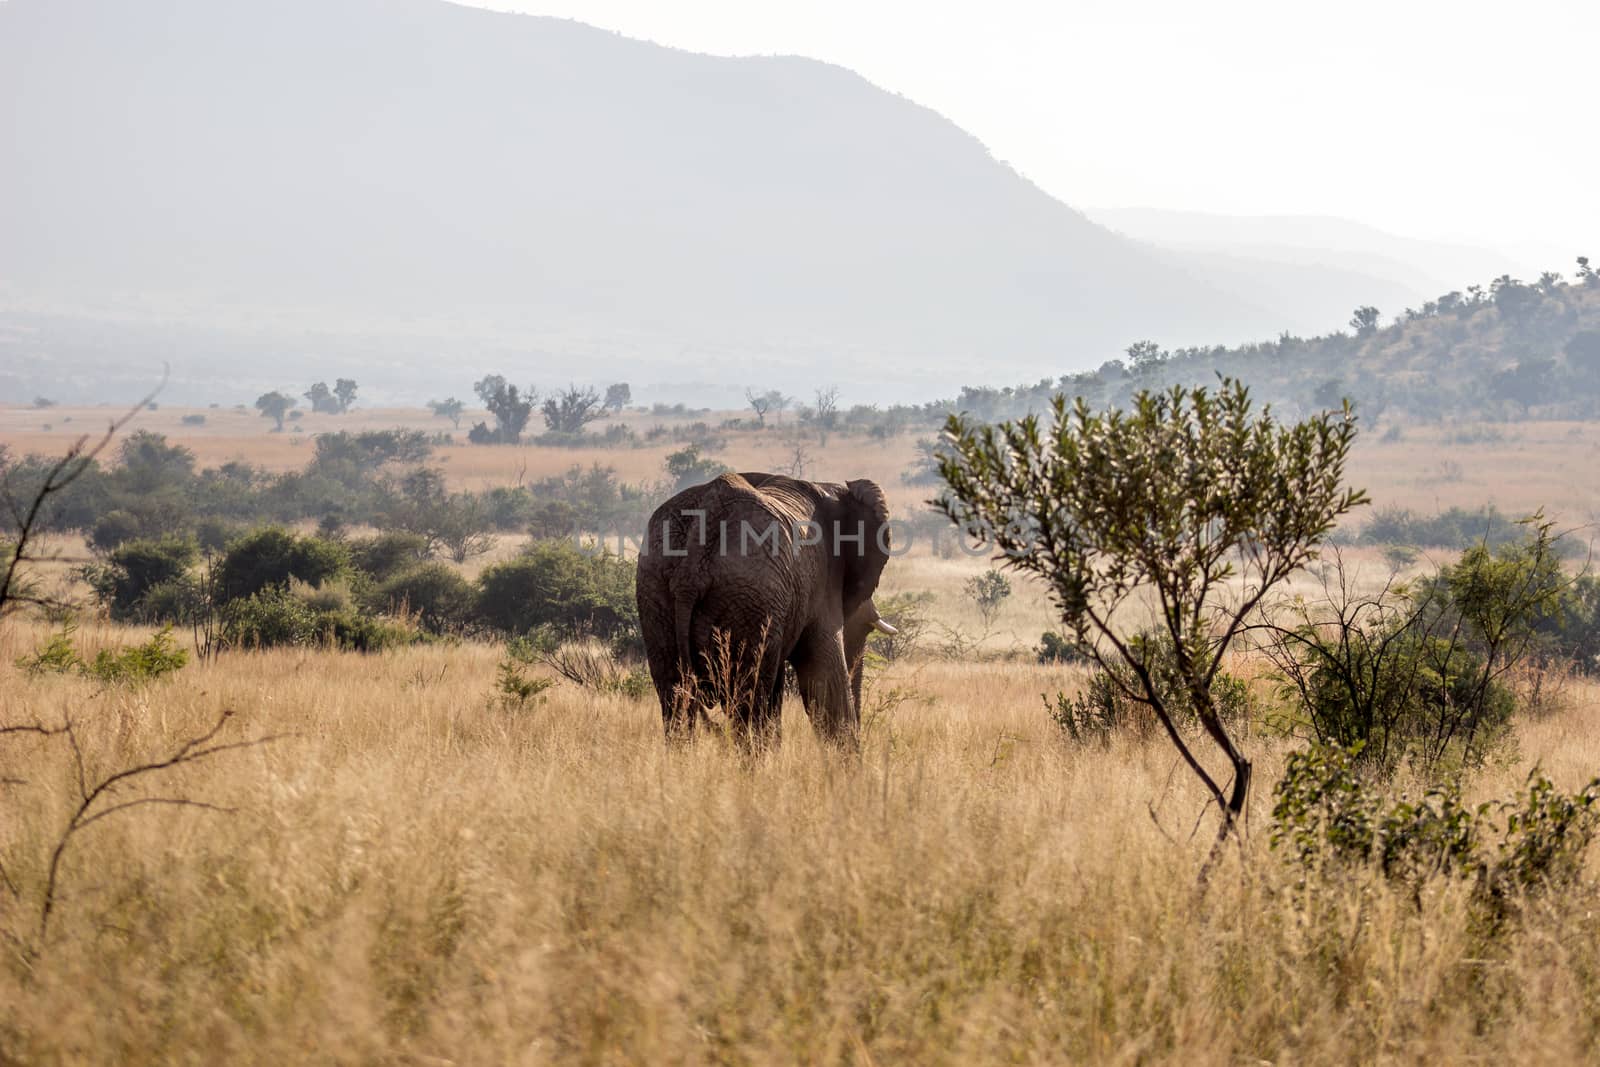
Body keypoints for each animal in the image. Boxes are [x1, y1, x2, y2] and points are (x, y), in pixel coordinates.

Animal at [633, 470, 896, 748]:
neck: (831, 488)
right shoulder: (821, 587)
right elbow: (825, 682)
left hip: (657, 587)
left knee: (675, 697)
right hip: (748, 593)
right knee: (748, 701)